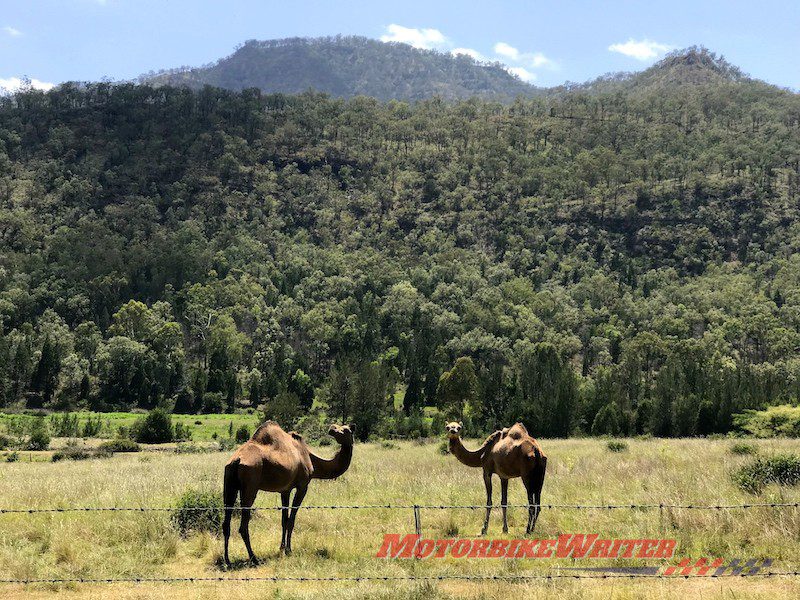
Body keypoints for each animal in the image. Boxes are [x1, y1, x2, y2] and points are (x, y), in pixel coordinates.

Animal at [222, 420, 354, 564]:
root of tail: (237, 460)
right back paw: (254, 558)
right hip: (250, 485)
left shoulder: (285, 490)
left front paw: (281, 548)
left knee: (226, 523)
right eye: (342, 429)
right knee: (243, 526)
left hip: (229, 484)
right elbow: (292, 519)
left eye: (346, 430)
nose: (332, 430)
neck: (309, 457)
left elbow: (284, 520)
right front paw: (289, 550)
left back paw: (227, 559)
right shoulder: (303, 486)